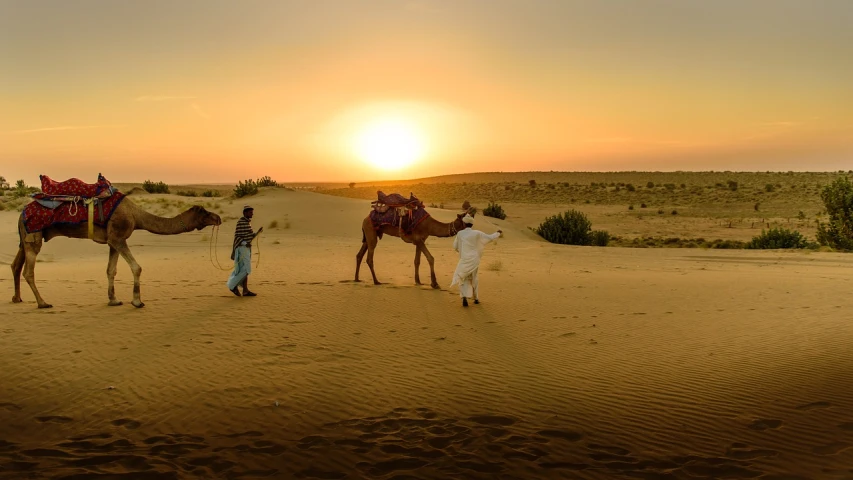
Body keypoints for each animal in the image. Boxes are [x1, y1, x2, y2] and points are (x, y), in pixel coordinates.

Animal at [13, 174, 220, 310]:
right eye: (204, 213)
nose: (218, 218)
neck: (136, 216)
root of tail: (21, 213)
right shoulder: (119, 237)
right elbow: (137, 267)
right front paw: (137, 301)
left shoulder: (112, 241)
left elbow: (110, 270)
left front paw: (113, 300)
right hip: (34, 236)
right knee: (28, 271)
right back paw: (42, 303)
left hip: (25, 238)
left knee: (16, 265)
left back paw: (17, 298)